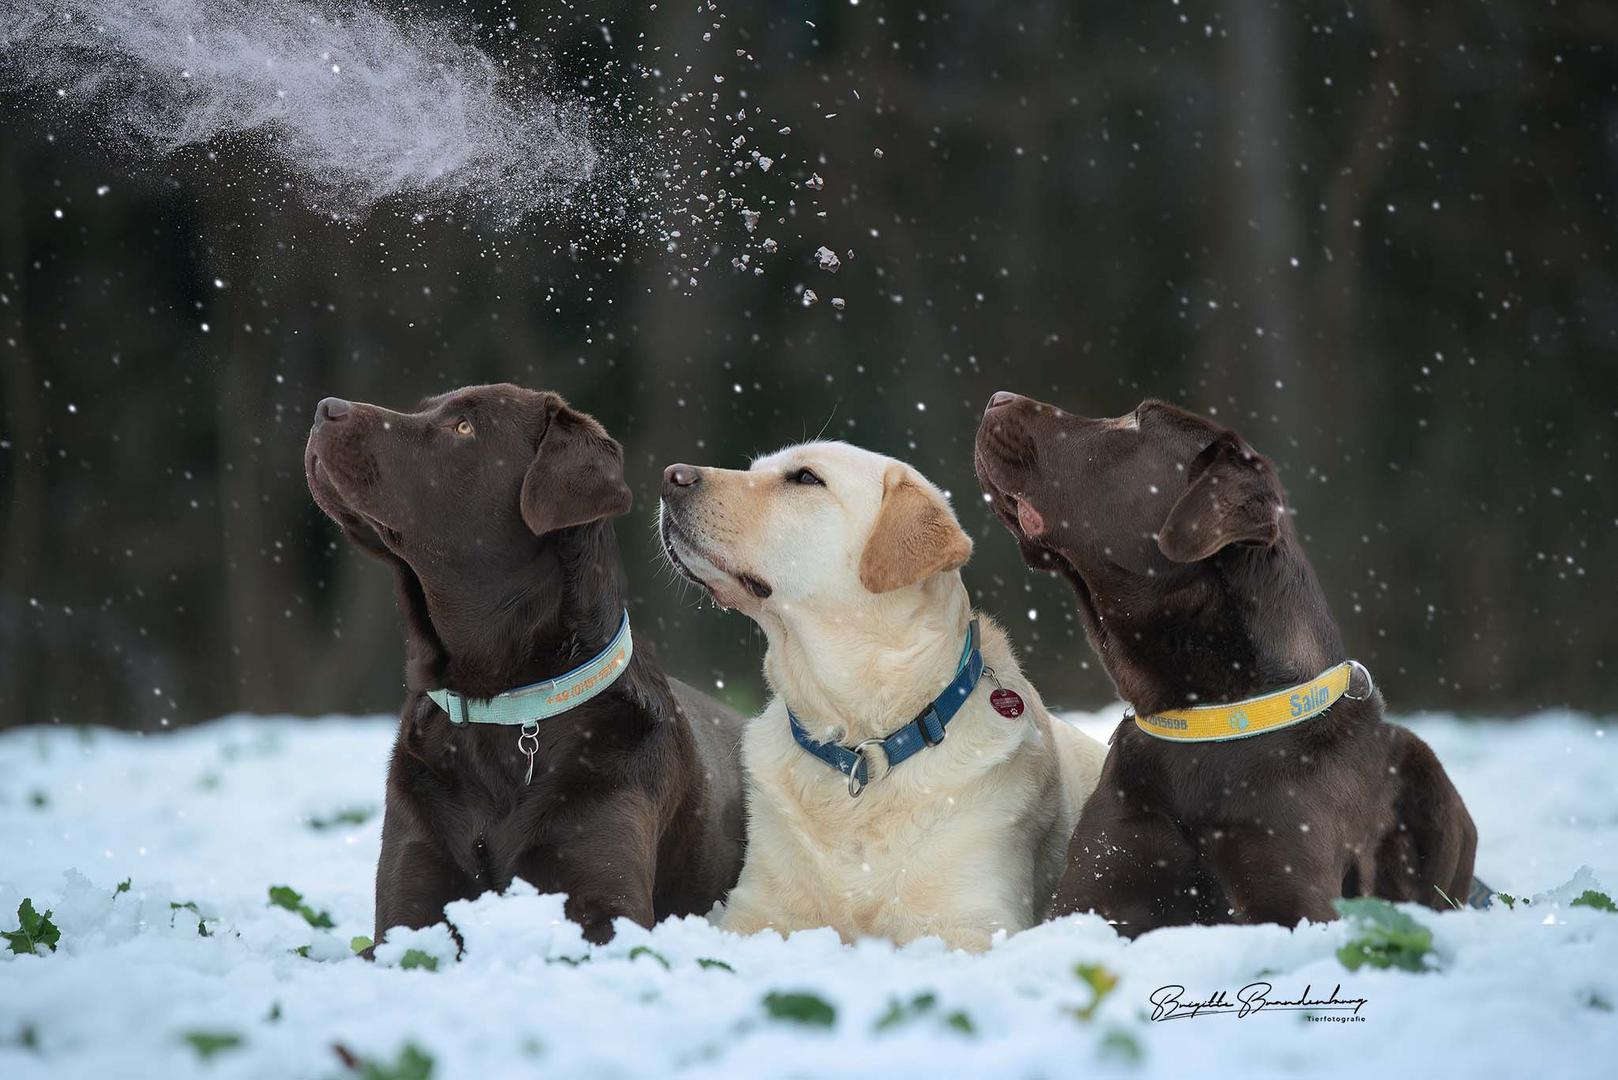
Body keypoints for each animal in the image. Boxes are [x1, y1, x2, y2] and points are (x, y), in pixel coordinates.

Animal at [304, 383, 744, 939]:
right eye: (424, 408)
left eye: (463, 427)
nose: (324, 409)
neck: (501, 708)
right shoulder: (407, 908)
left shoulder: (609, 903)